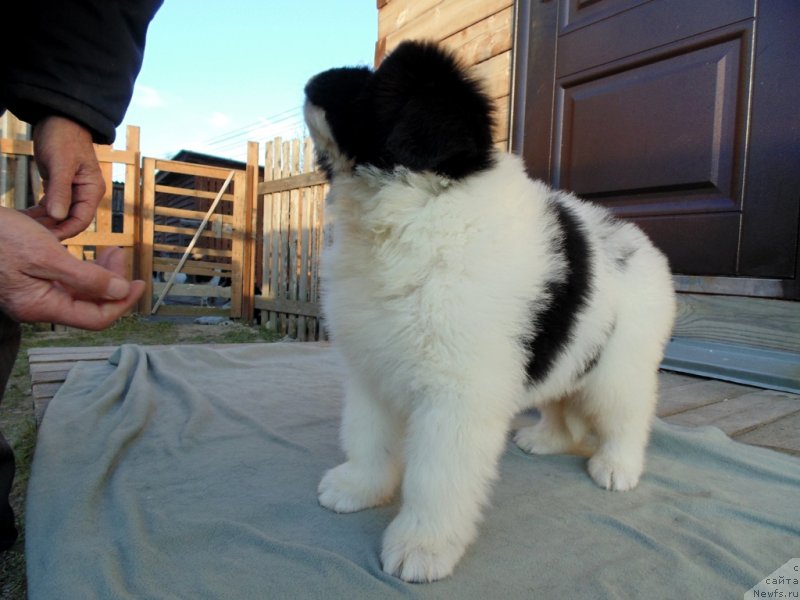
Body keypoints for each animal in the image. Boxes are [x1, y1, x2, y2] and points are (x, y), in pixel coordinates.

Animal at [304, 41, 680, 580]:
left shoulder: (458, 393)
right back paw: (546, 439)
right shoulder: (371, 369)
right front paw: (358, 488)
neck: (410, 221)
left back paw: (618, 467)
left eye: (375, 82)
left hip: (619, 366)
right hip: (567, 352)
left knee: (628, 415)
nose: (312, 82)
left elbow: (437, 475)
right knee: (563, 403)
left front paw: (422, 546)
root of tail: (643, 244)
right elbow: (367, 436)